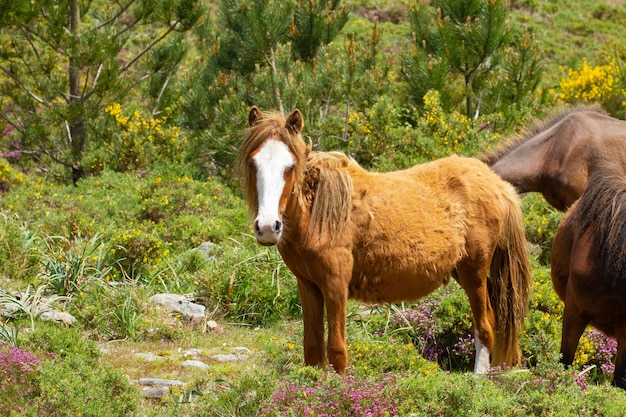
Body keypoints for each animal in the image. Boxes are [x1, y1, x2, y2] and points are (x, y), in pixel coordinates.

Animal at [236, 106, 528, 374]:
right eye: (253, 164)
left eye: (290, 166)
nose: (267, 227)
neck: (318, 213)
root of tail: (497, 184)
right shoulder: (308, 286)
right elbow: (313, 349)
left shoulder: (335, 284)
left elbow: (337, 351)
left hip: (474, 273)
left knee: (484, 325)